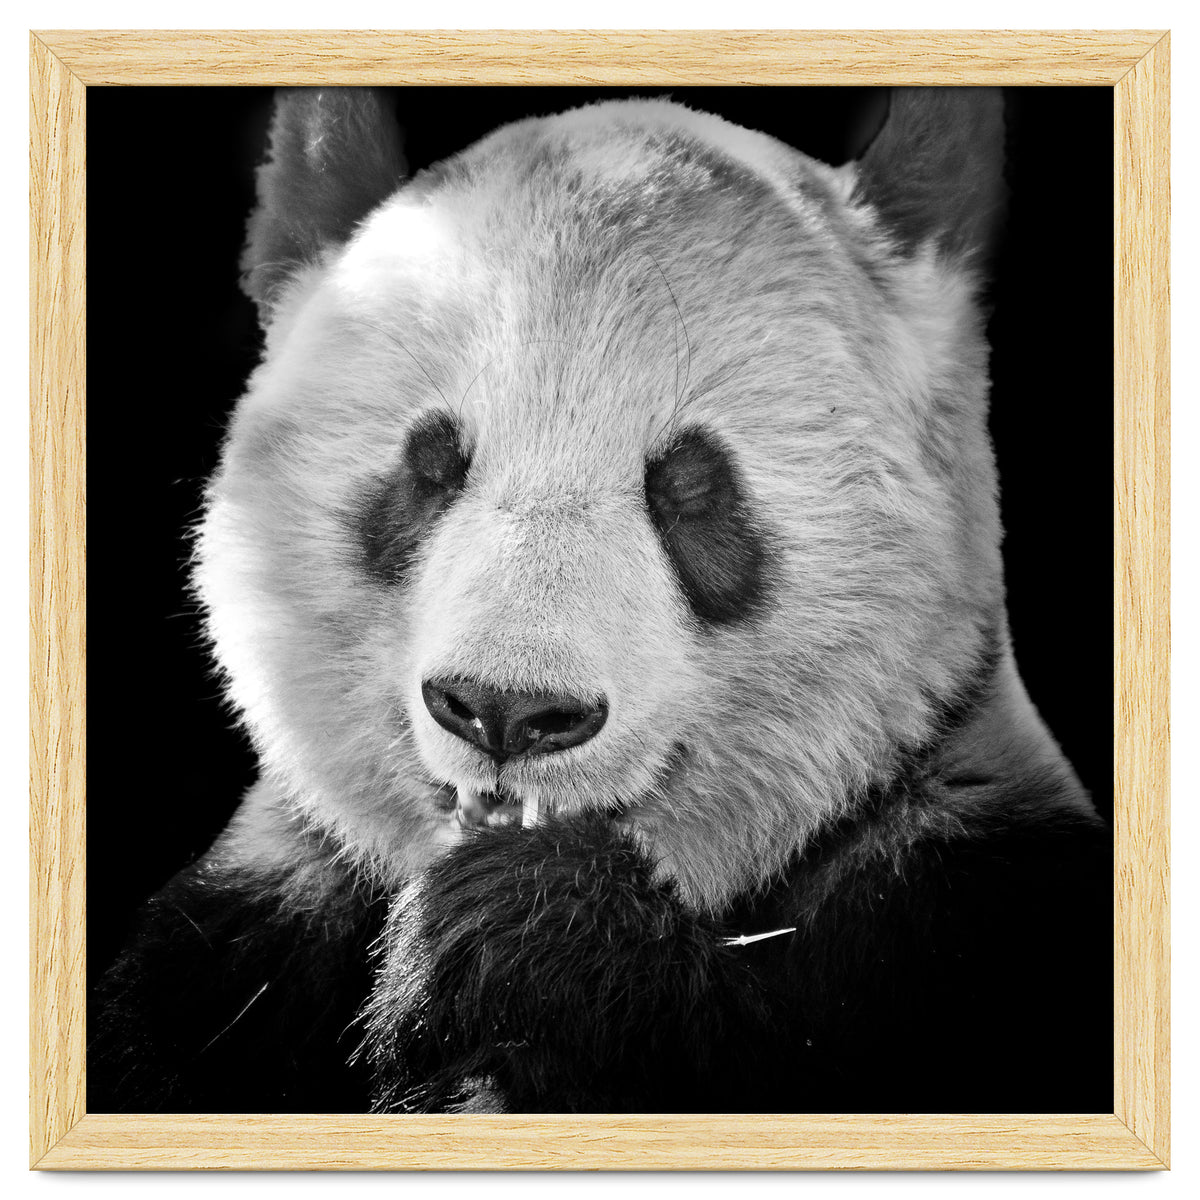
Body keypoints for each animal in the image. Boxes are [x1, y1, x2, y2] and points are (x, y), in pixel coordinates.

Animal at [90, 87, 1111, 1115]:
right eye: (431, 466)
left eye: (691, 487)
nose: (506, 710)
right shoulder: (238, 944)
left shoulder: (963, 902)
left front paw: (528, 933)